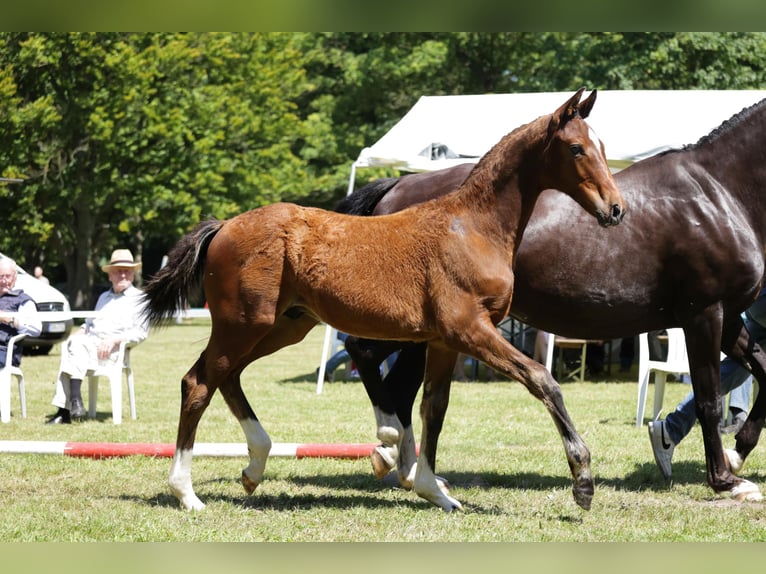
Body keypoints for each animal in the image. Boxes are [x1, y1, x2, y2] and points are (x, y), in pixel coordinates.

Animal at [147, 89, 628, 512]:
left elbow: (434, 407)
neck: (473, 227)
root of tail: (224, 225)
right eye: (576, 148)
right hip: (242, 324)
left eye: (602, 146)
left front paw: (433, 490)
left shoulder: (443, 341)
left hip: (282, 326)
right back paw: (187, 494)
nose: (616, 209)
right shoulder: (470, 329)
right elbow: (541, 379)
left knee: (226, 378)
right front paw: (583, 482)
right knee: (198, 383)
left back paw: (253, 468)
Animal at [338, 95, 766, 504]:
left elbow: (764, 372)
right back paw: (394, 446)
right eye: (577, 149)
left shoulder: (729, 320)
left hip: (434, 333)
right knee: (366, 355)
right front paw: (726, 480)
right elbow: (709, 399)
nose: (614, 210)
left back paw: (407, 467)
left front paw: (736, 454)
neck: (717, 193)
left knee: (400, 386)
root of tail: (396, 188)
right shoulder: (703, 316)